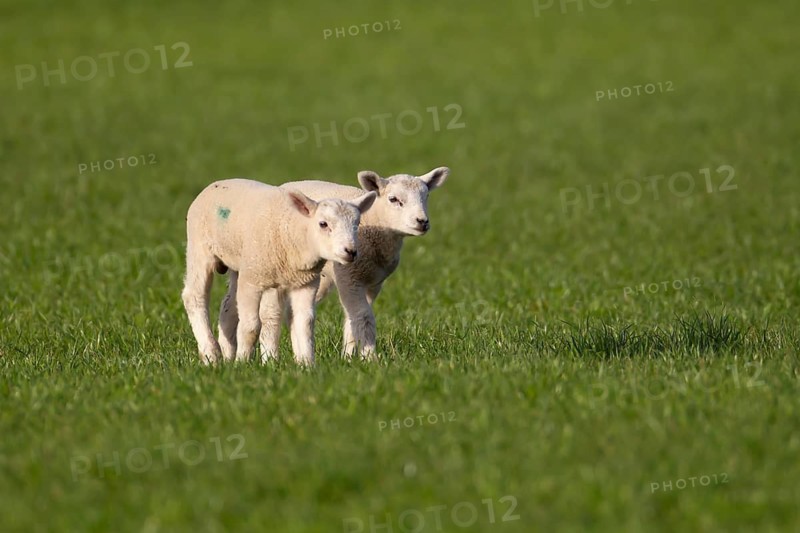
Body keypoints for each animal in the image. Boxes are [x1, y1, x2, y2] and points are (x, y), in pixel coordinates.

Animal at [181, 178, 376, 365]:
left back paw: (227, 354)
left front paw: (307, 364)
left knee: (228, 305)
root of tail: (217, 183)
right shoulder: (251, 280)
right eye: (323, 224)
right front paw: (242, 363)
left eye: (357, 224)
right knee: (194, 296)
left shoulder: (305, 283)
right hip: (200, 249)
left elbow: (305, 323)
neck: (295, 231)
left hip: (239, 263)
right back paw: (211, 353)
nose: (351, 251)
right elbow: (251, 326)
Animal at [245, 167, 449, 361]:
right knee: (271, 314)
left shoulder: (373, 282)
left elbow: (354, 318)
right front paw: (370, 359)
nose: (422, 222)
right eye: (393, 199)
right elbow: (363, 316)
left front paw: (349, 357)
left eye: (426, 196)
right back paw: (270, 358)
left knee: (292, 312)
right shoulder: (349, 277)